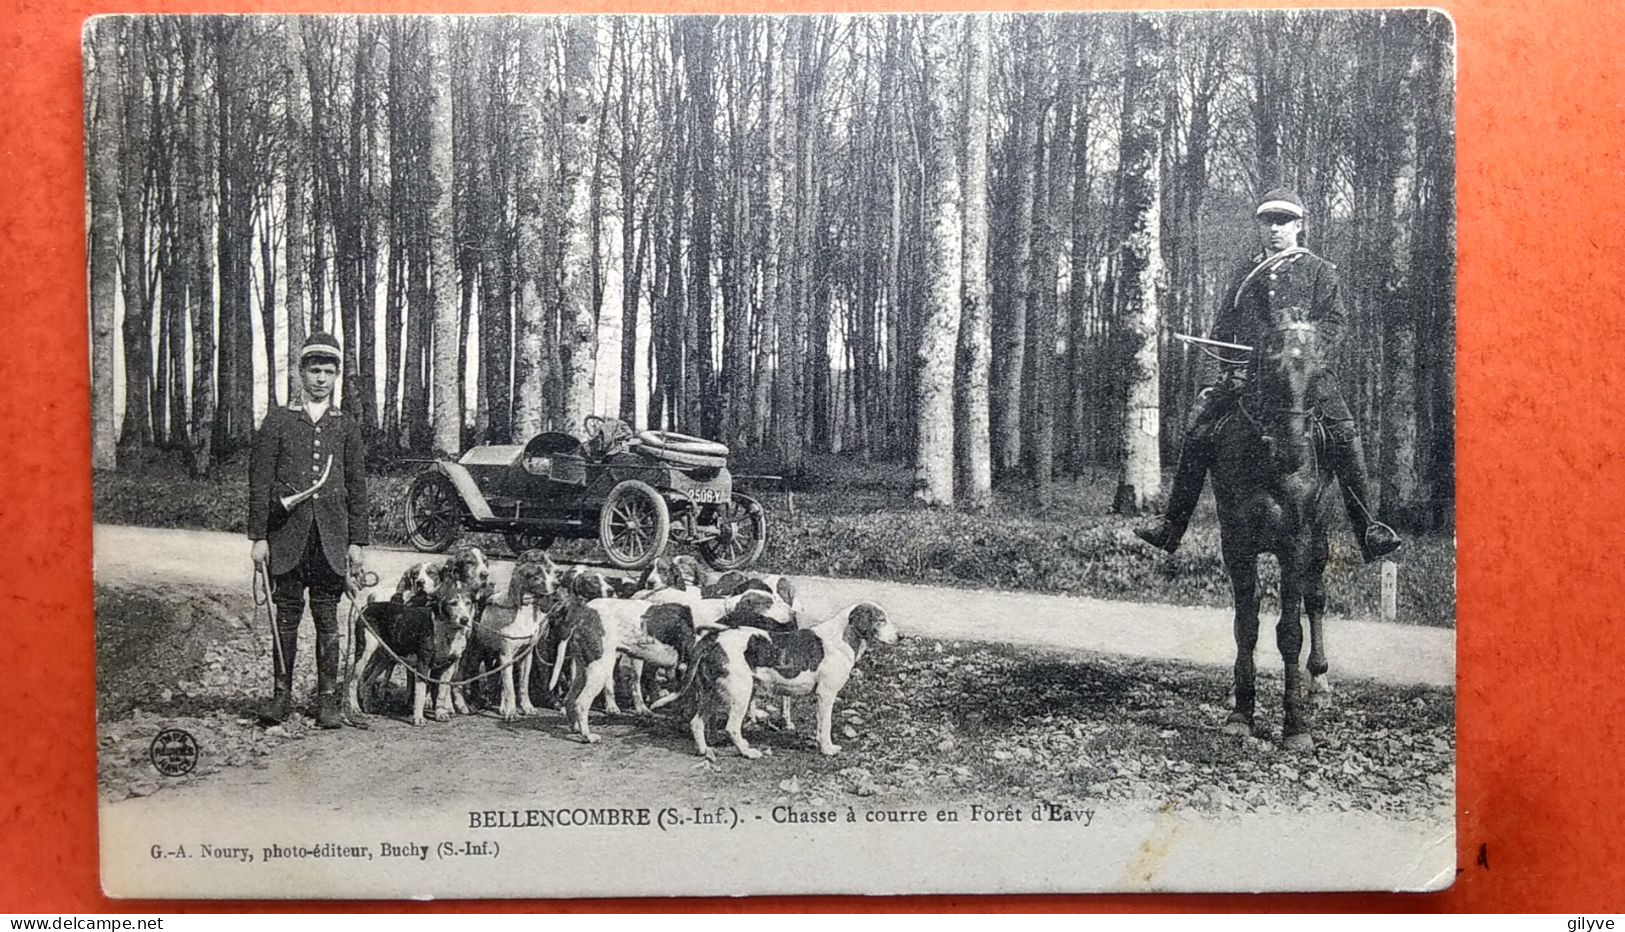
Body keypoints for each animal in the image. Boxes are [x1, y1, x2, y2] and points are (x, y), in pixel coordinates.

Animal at [1215, 321, 1339, 753]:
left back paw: (1318, 680)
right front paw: (1241, 712)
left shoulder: (1295, 545)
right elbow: (1245, 625)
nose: (1291, 453)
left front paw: (1295, 724)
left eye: (1318, 373)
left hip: (1319, 538)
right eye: (1269, 369)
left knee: (1315, 598)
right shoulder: (1236, 545)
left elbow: (1290, 632)